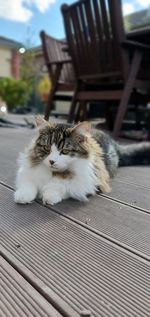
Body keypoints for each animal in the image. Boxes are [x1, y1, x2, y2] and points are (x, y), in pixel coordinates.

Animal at [14, 116, 150, 205]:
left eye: (65, 151)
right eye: (46, 148)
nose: (51, 161)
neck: (55, 172)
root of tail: (115, 143)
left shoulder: (91, 182)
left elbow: (62, 187)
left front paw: (49, 195)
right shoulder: (26, 172)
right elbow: (28, 184)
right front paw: (23, 196)